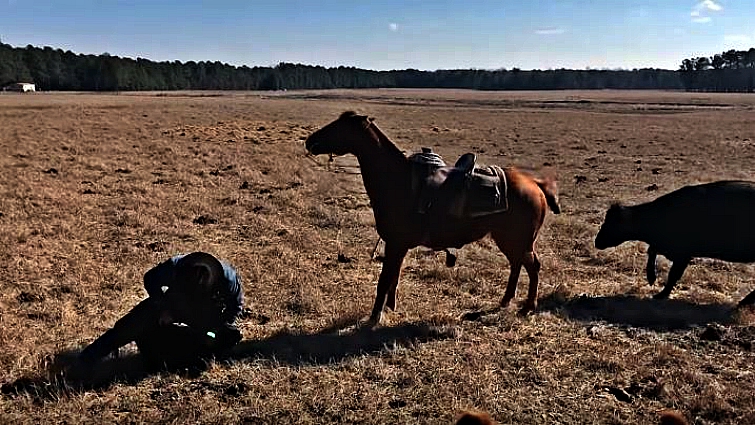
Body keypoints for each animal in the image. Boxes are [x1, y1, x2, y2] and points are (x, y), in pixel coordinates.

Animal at [305, 111, 560, 325]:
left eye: (340, 127)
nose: (309, 140)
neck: (398, 180)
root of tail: (535, 184)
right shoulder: (396, 245)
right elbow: (394, 277)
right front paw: (390, 307)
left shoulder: (396, 244)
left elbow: (384, 280)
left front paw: (374, 317)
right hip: (509, 240)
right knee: (517, 265)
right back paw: (506, 301)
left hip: (518, 240)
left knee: (532, 266)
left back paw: (527, 307)